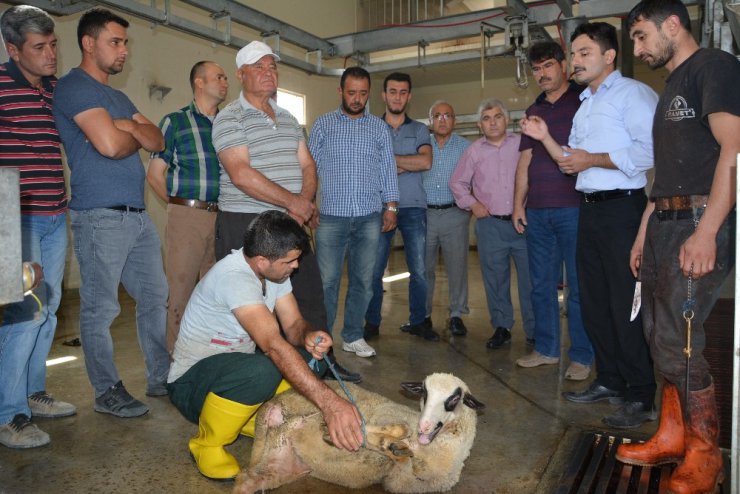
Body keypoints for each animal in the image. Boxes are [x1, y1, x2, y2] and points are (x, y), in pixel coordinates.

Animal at [234, 372, 482, 492]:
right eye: (424, 393)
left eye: (454, 399)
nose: (424, 427)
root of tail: (271, 404)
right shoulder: (384, 414)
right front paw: (394, 441)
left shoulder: (400, 482)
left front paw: (395, 447)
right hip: (315, 412)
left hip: (277, 463)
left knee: (245, 480)